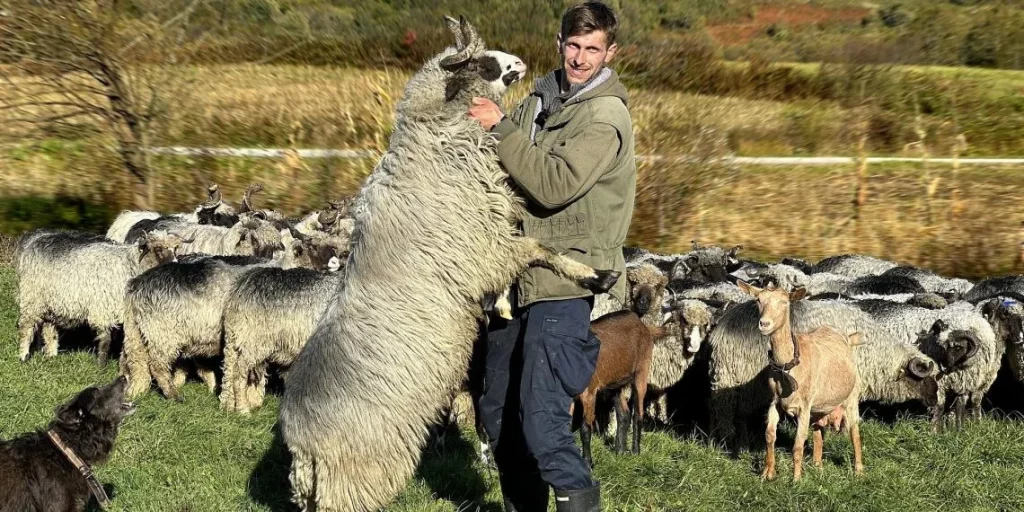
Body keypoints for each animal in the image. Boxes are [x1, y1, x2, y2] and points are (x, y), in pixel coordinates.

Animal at [16, 228, 190, 364]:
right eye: (158, 248)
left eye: (176, 249)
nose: (175, 266)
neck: (130, 264)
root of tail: (37, 238)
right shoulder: (102, 308)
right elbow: (105, 339)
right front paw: (101, 365)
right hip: (32, 296)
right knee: (26, 326)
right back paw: (23, 355)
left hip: (52, 301)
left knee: (49, 327)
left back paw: (51, 354)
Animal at [276, 17, 618, 512]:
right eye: (482, 62)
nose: (520, 62)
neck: (432, 139)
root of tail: (302, 447)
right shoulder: (487, 245)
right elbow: (541, 250)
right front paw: (594, 275)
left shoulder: (489, 241)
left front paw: (505, 306)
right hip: (356, 475)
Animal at [577, 307, 663, 468]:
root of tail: (642, 325)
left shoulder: (589, 392)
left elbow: (585, 428)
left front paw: (587, 463)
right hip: (615, 384)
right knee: (624, 413)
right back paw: (620, 450)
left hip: (641, 371)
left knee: (637, 414)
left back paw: (635, 452)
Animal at [737, 280, 864, 479]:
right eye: (758, 300)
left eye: (784, 302)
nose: (764, 324)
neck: (788, 365)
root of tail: (847, 339)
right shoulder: (775, 402)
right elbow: (769, 435)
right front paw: (768, 473)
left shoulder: (804, 405)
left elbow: (798, 443)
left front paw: (796, 479)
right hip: (819, 407)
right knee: (818, 431)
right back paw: (818, 466)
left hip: (851, 396)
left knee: (854, 431)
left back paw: (858, 470)